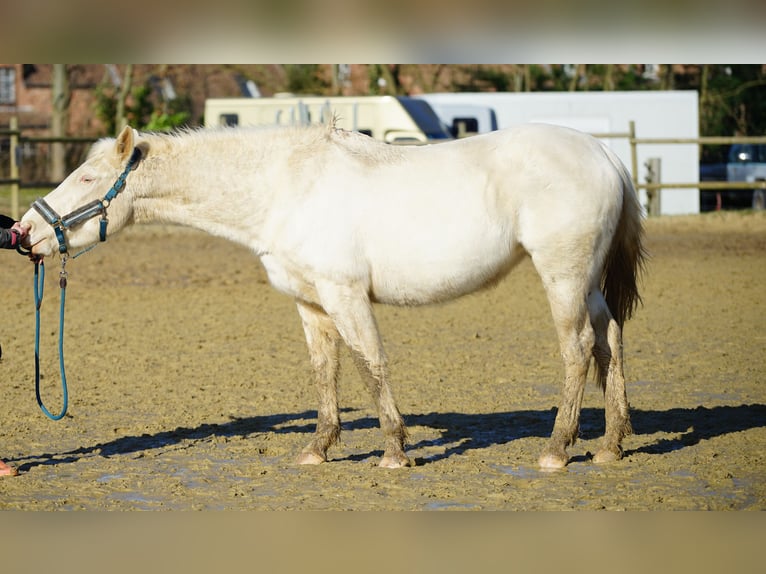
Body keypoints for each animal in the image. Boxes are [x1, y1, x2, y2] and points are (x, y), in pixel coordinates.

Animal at [22, 124, 648, 470]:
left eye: (85, 178)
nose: (24, 231)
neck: (283, 186)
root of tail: (606, 155)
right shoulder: (313, 303)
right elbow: (326, 372)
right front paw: (318, 449)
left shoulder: (345, 295)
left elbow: (371, 366)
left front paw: (395, 452)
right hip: (587, 283)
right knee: (609, 341)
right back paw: (610, 446)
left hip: (562, 276)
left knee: (576, 349)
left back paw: (557, 450)